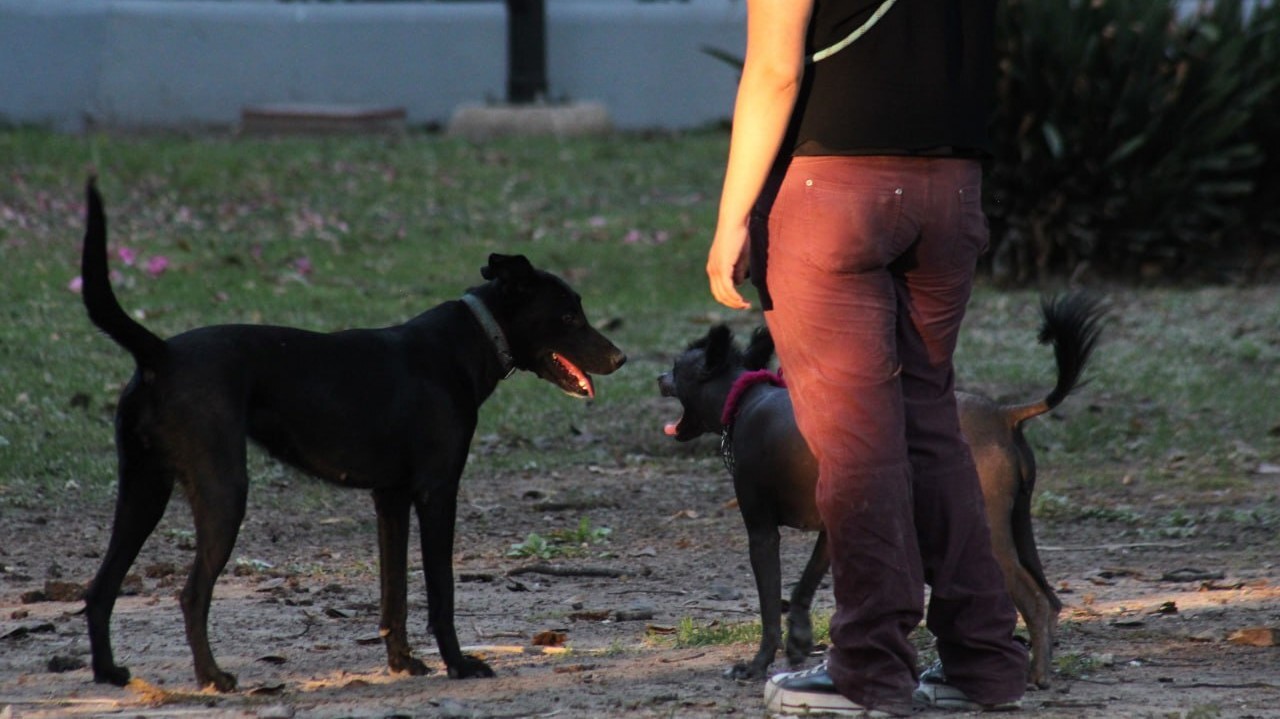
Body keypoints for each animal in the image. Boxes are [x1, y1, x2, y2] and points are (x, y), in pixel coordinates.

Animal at [77, 179, 627, 690]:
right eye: (569, 315)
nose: (621, 358)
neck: (468, 340)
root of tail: (161, 352)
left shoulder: (391, 499)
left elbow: (394, 592)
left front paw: (402, 662)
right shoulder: (437, 492)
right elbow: (441, 590)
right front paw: (457, 663)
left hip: (144, 490)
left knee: (100, 588)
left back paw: (108, 672)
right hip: (221, 491)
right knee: (192, 593)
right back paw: (212, 676)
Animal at [660, 294, 1100, 685]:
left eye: (677, 366)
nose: (658, 377)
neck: (746, 398)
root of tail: (1004, 415)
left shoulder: (762, 533)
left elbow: (770, 606)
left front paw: (757, 665)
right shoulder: (831, 529)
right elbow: (803, 587)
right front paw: (800, 640)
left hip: (986, 531)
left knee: (1035, 600)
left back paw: (1034, 676)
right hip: (1018, 524)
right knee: (1052, 600)